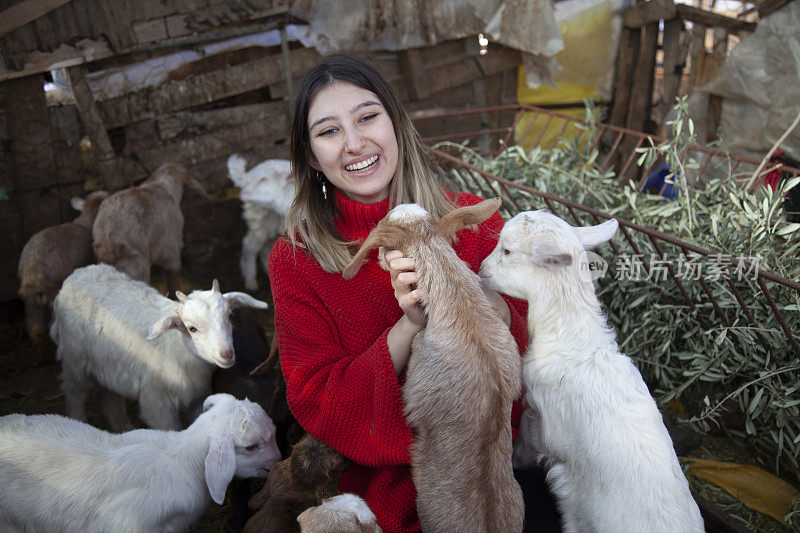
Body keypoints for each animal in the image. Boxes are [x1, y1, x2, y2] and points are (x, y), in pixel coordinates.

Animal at [50, 264, 268, 430]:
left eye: (230, 316)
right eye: (192, 328)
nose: (226, 354)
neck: (177, 350)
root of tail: (77, 274)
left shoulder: (195, 400)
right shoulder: (156, 403)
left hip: (106, 364)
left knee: (109, 397)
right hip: (74, 358)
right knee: (74, 391)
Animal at [227, 153, 296, 290]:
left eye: (263, 179)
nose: (243, 193)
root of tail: (246, 176)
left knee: (264, 247)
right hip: (260, 220)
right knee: (250, 245)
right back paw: (251, 281)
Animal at [478, 211, 704, 532]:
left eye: (507, 250)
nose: (482, 269)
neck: (576, 343)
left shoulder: (540, 420)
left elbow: (525, 445)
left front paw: (511, 463)